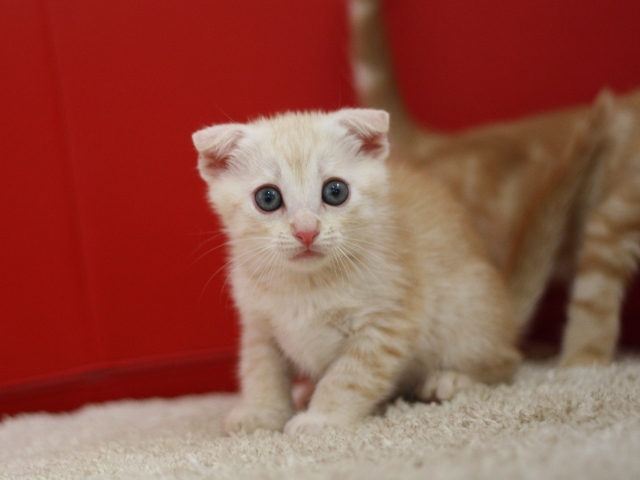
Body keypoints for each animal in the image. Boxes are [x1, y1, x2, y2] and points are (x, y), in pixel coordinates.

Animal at [192, 105, 604, 436]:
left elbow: (348, 377)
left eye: (335, 192)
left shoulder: (387, 322)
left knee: (507, 364)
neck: (307, 284)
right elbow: (260, 370)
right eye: (268, 198)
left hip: (465, 312)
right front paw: (262, 412)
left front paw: (321, 418)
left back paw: (452, 379)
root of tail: (504, 305)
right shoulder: (259, 325)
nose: (306, 231)